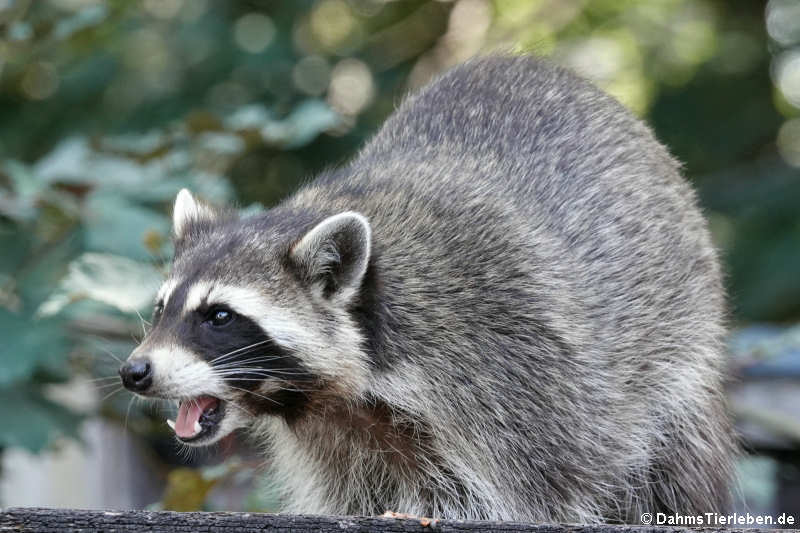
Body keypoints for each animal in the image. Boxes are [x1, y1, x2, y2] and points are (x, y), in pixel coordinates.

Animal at [119, 56, 736, 520]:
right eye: (161, 307)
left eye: (218, 316)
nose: (135, 371)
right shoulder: (337, 436)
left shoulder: (512, 365)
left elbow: (534, 492)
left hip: (680, 342)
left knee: (676, 459)